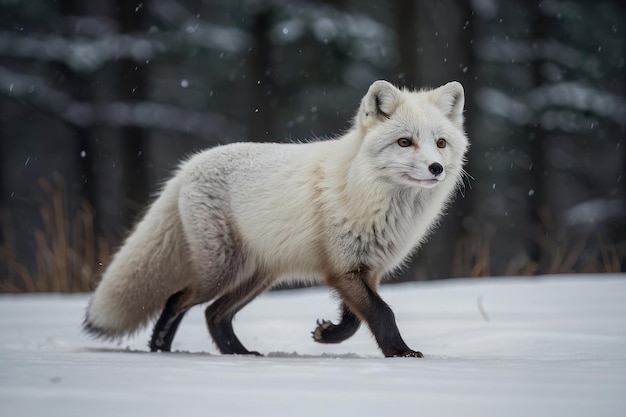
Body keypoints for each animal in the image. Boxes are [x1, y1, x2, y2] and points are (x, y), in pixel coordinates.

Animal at [86, 79, 468, 356]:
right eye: (405, 142)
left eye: (440, 143)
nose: (436, 168)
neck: (367, 194)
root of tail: (190, 164)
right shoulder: (344, 266)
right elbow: (382, 313)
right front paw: (401, 353)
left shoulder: (363, 268)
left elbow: (357, 320)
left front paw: (328, 335)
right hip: (222, 271)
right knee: (177, 300)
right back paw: (160, 348)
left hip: (258, 275)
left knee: (214, 314)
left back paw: (238, 354)